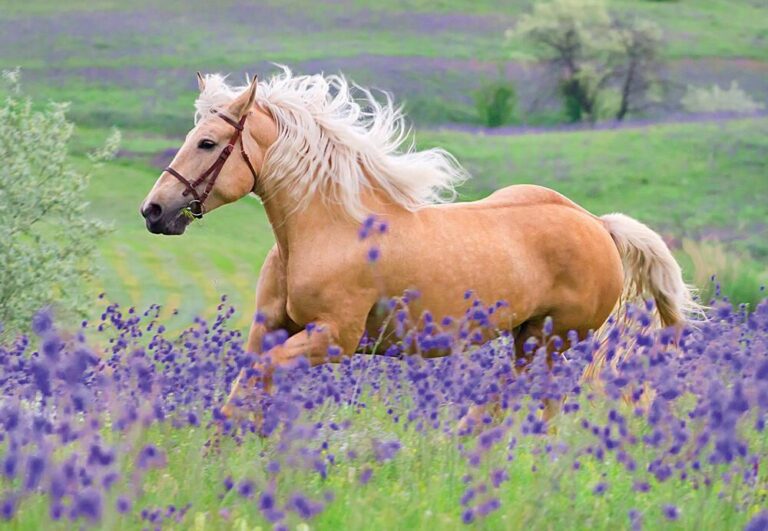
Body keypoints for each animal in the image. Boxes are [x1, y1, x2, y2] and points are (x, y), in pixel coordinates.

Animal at [140, 68, 699, 424]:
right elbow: (244, 389)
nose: (154, 211)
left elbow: (261, 380)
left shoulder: (333, 339)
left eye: (208, 143)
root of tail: (596, 224)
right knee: (518, 396)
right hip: (528, 337)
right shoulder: (272, 330)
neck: (327, 230)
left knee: (535, 399)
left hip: (553, 339)